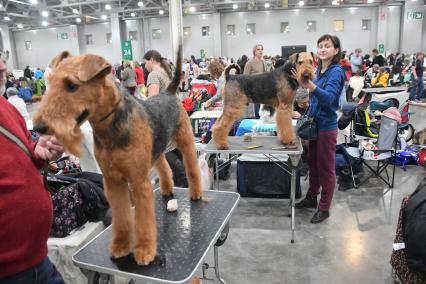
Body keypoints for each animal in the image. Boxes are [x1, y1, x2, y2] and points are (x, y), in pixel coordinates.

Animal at [32, 46, 202, 266]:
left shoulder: (139, 182)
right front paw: (121, 246)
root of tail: (170, 91)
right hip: (155, 150)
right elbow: (121, 217)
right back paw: (166, 190)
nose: (38, 127)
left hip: (185, 141)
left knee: (192, 167)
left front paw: (144, 250)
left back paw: (196, 193)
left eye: (71, 85)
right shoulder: (113, 182)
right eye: (50, 82)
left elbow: (143, 220)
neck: (108, 125)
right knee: (164, 168)